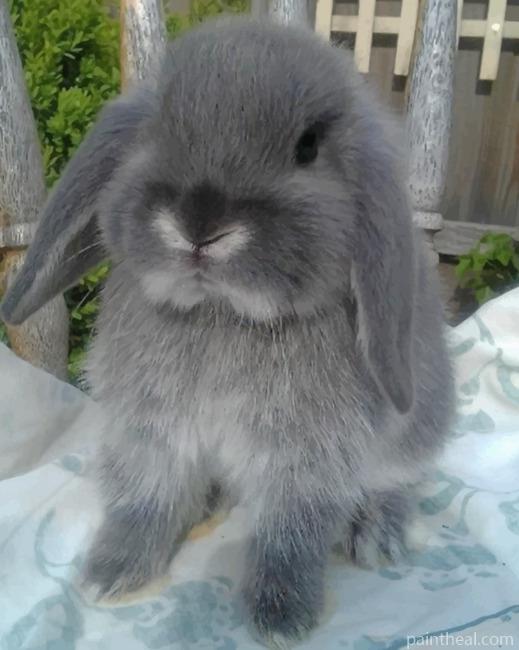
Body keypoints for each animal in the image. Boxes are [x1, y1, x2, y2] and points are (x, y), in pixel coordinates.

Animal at [1, 17, 455, 648]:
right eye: (158, 126)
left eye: (308, 147)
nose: (200, 223)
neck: (222, 312)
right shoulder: (151, 432)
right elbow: (143, 499)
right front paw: (111, 574)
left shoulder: (306, 456)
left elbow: (291, 532)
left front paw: (282, 616)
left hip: (414, 431)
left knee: (397, 481)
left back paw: (378, 537)